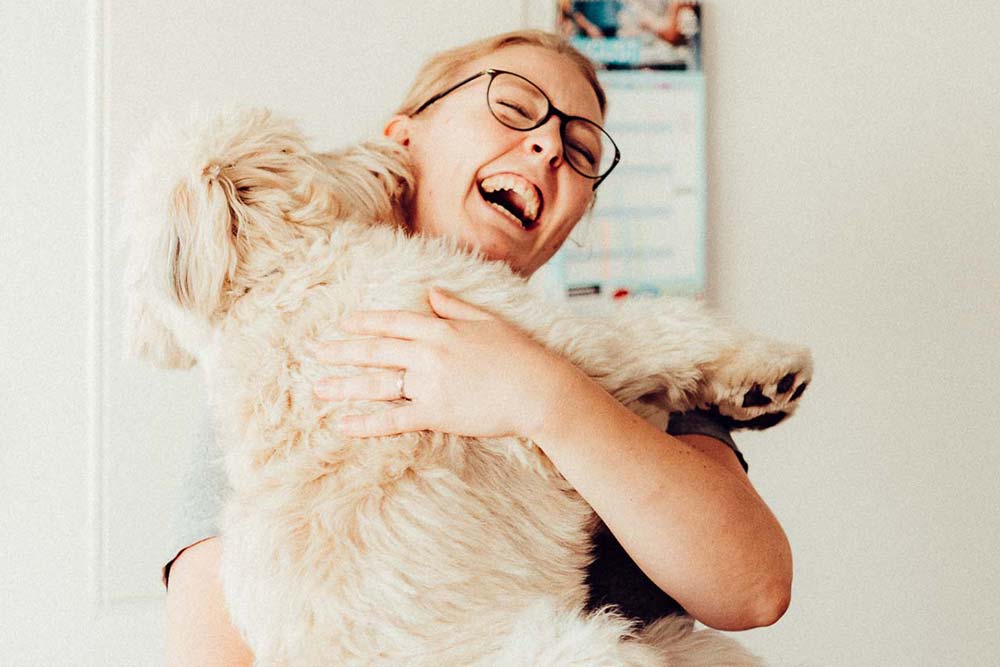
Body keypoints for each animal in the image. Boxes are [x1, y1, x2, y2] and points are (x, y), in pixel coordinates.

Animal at [125, 112, 812, 664]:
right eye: (304, 147)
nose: (389, 151)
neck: (266, 285)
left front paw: (746, 399)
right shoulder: (564, 348)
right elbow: (663, 326)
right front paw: (769, 373)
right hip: (582, 648)